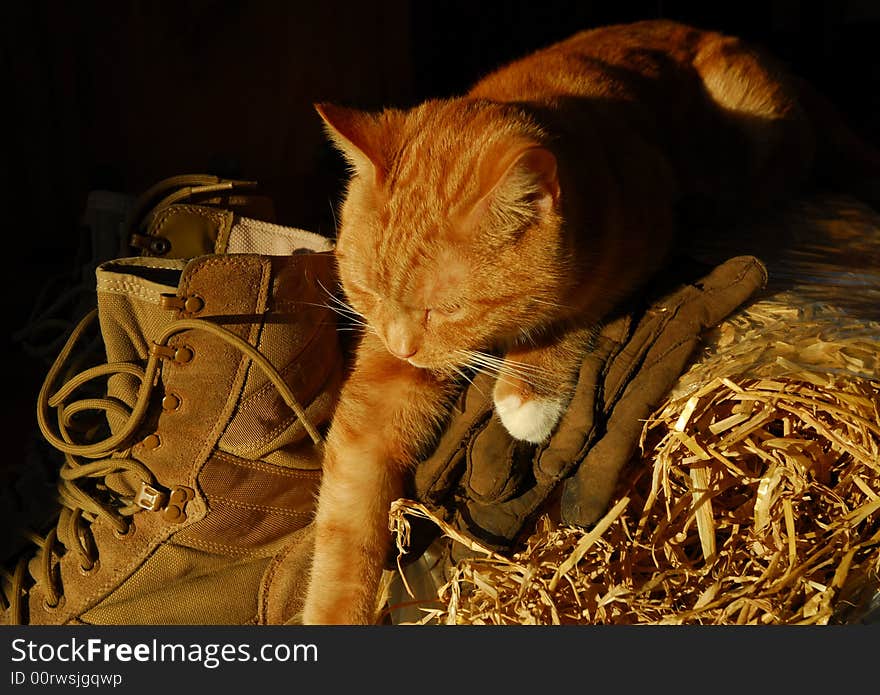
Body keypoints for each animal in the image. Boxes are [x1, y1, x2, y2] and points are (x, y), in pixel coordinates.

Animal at [302, 20, 868, 624]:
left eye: (445, 310)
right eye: (368, 291)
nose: (404, 346)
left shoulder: (641, 246)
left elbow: (573, 315)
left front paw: (527, 393)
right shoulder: (379, 382)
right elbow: (346, 512)